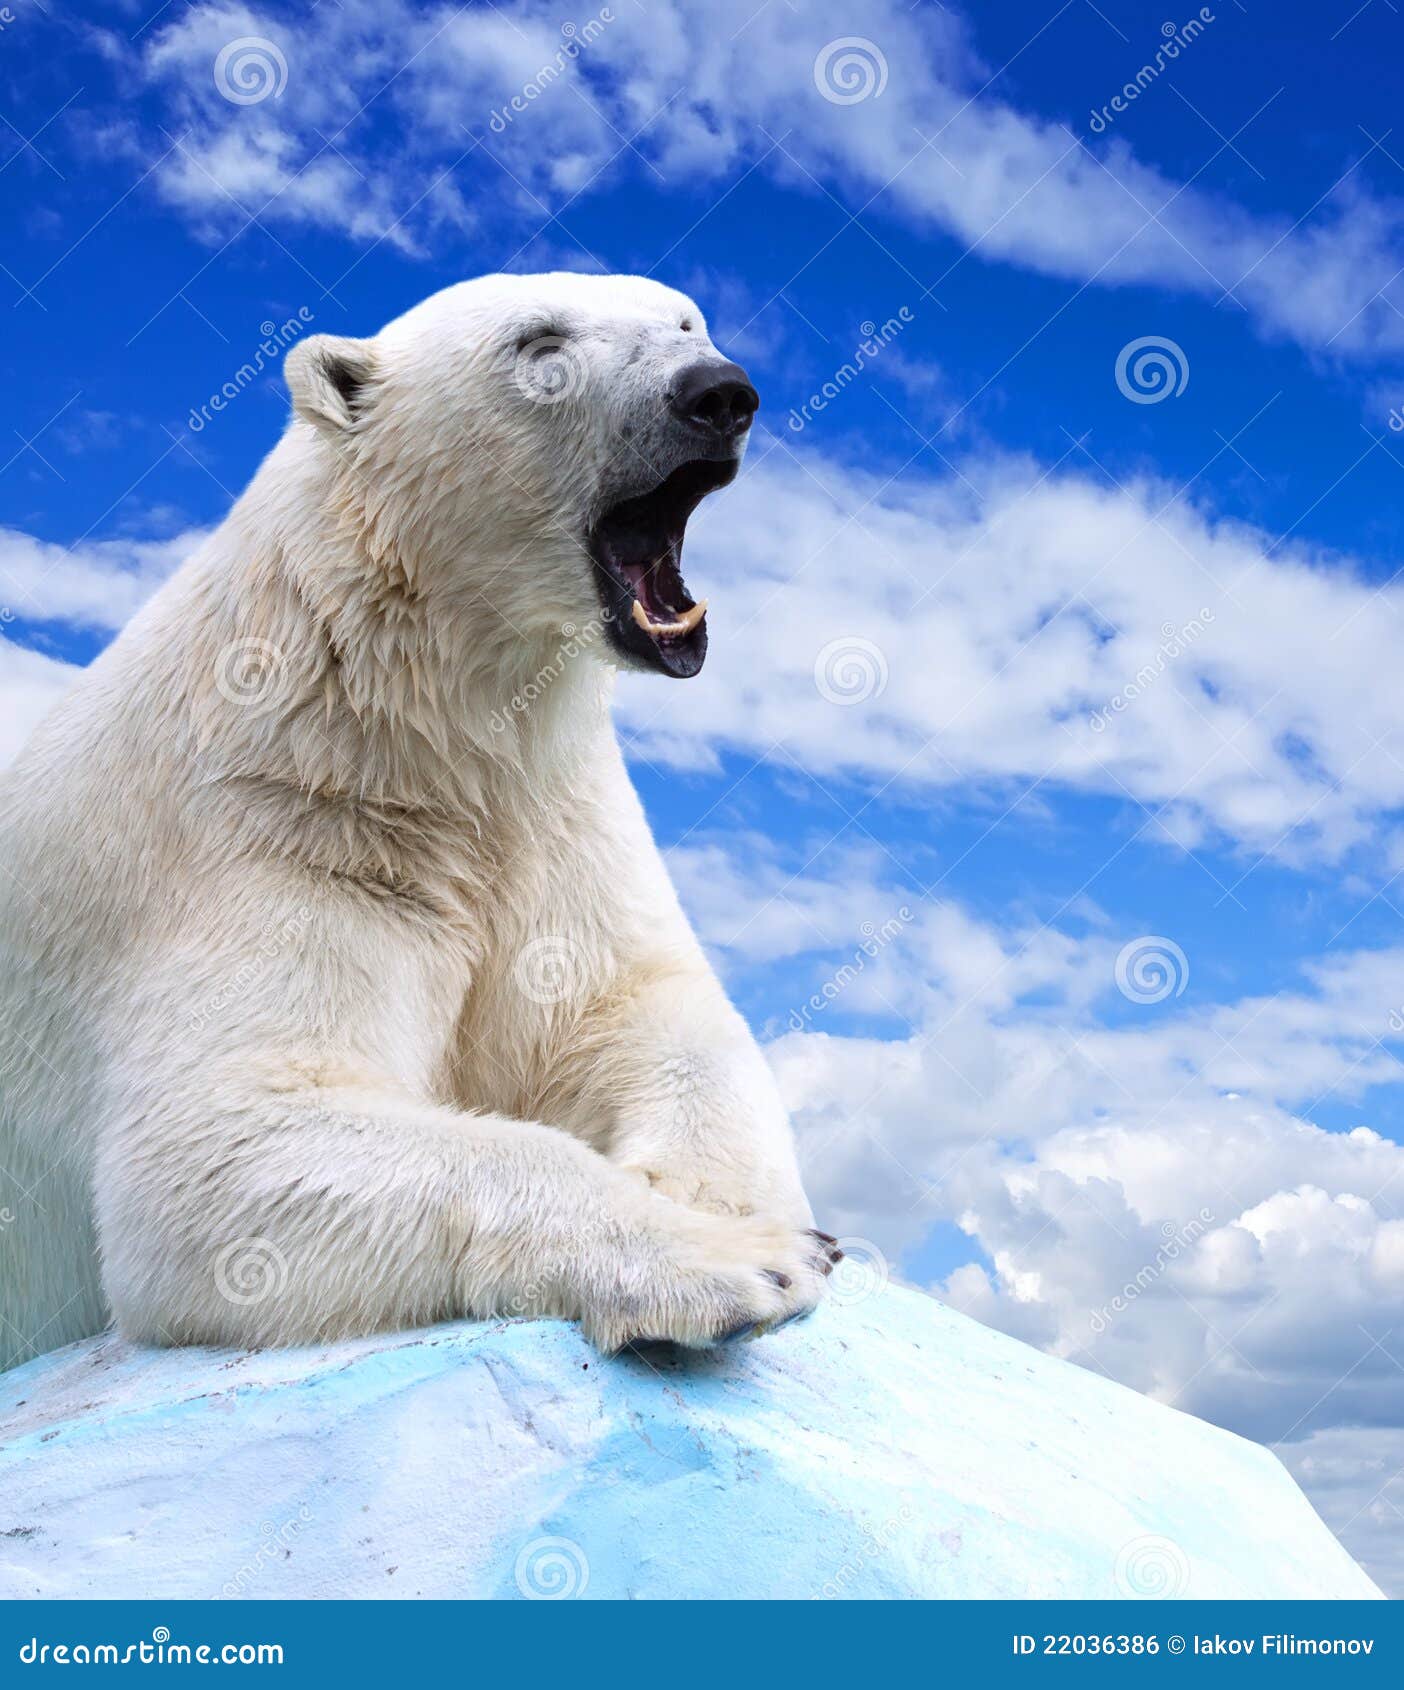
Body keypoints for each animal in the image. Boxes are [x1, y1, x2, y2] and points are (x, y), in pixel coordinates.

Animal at [0, 272, 842, 1373]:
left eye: (684, 318)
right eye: (540, 345)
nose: (717, 393)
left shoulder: (551, 815)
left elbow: (638, 1008)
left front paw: (750, 1214)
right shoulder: (282, 830)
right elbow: (218, 1144)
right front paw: (728, 1263)